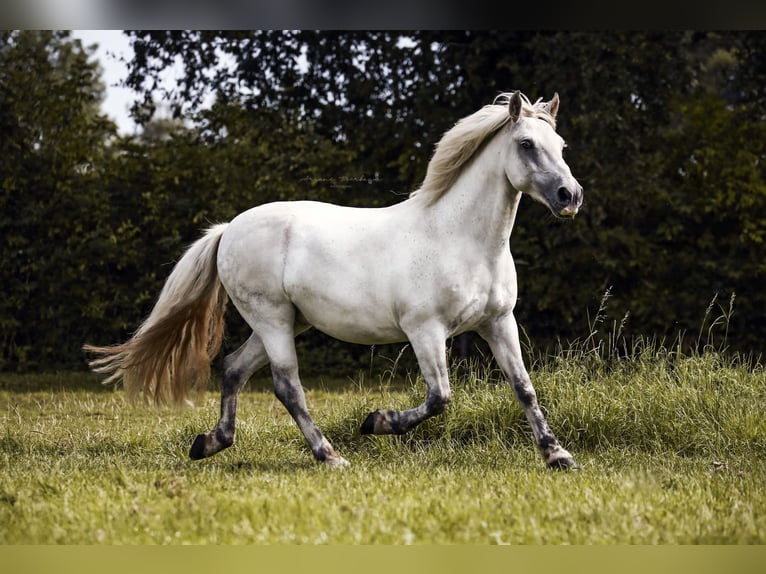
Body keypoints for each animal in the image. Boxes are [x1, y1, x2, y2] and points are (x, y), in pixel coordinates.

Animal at [84, 91, 583, 470]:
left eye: (561, 145)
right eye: (526, 143)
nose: (570, 196)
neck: (459, 238)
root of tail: (228, 229)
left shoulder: (498, 323)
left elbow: (524, 387)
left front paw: (558, 456)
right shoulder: (426, 331)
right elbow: (440, 397)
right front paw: (376, 422)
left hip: (286, 322)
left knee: (233, 368)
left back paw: (209, 443)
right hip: (271, 320)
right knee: (287, 386)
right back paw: (330, 456)